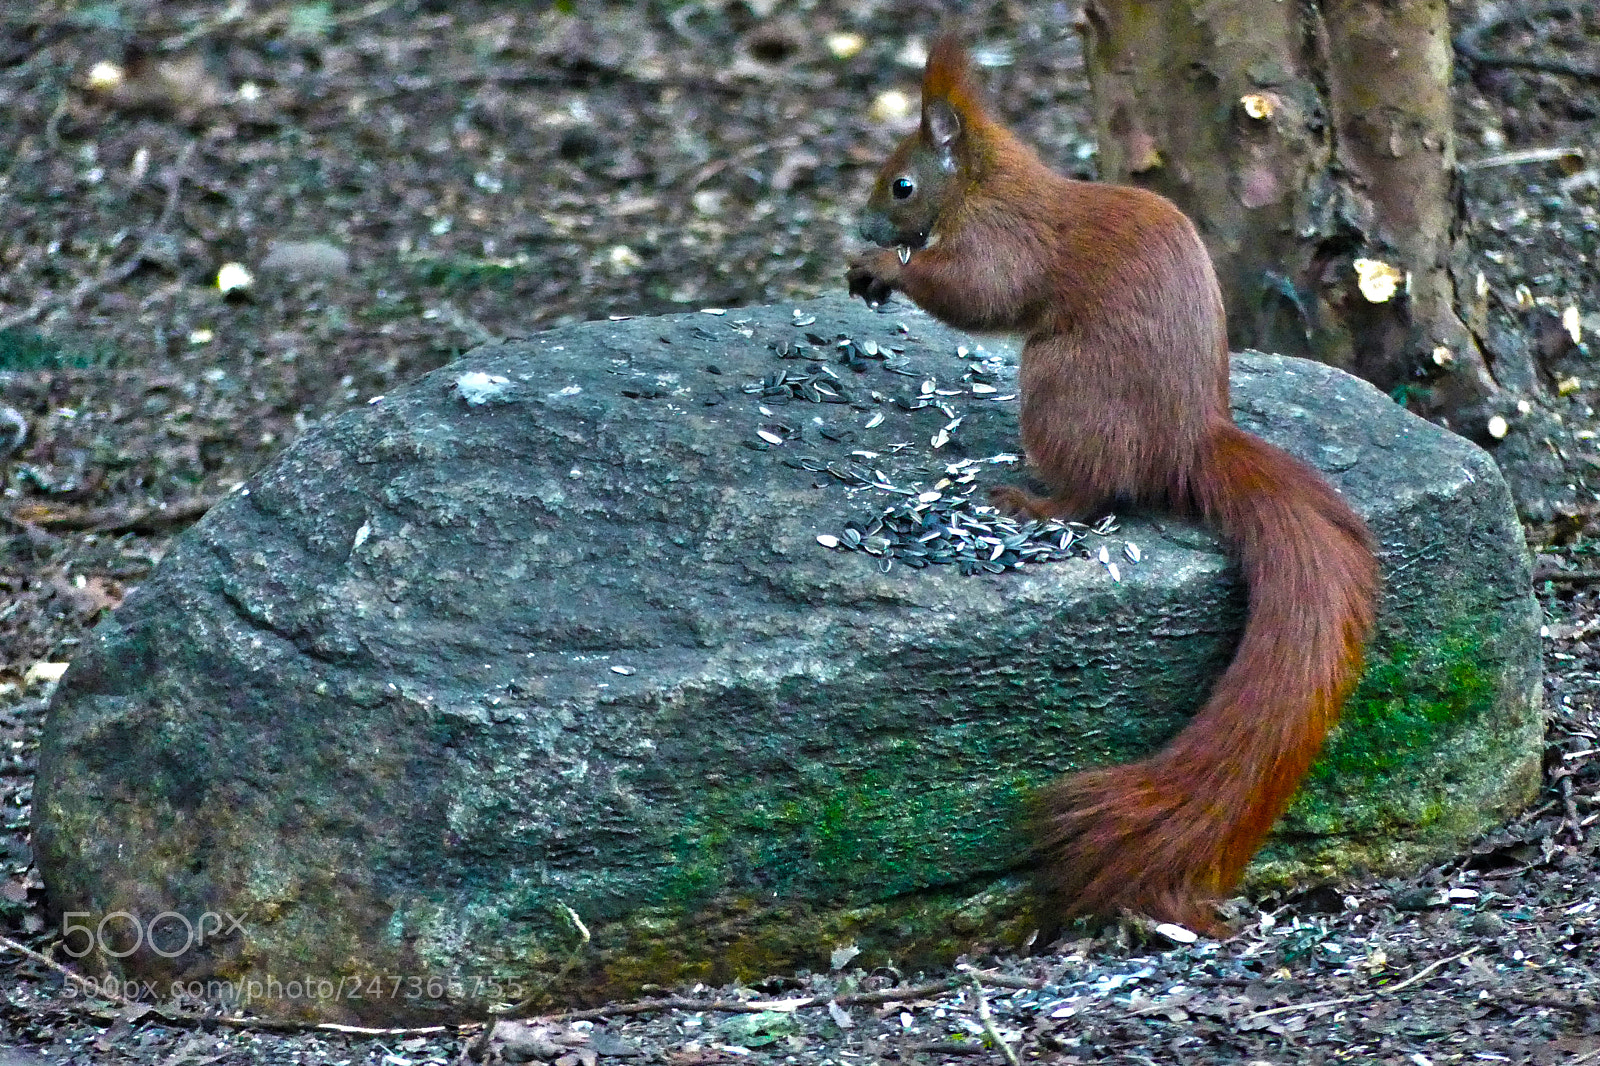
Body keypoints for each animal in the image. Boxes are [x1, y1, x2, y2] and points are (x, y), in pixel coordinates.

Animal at [847, 36, 1380, 934]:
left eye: (902, 184)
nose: (863, 225)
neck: (989, 185)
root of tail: (1188, 440)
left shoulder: (1003, 241)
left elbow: (977, 293)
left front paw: (883, 264)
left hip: (1060, 382)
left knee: (1096, 493)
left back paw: (1028, 499)